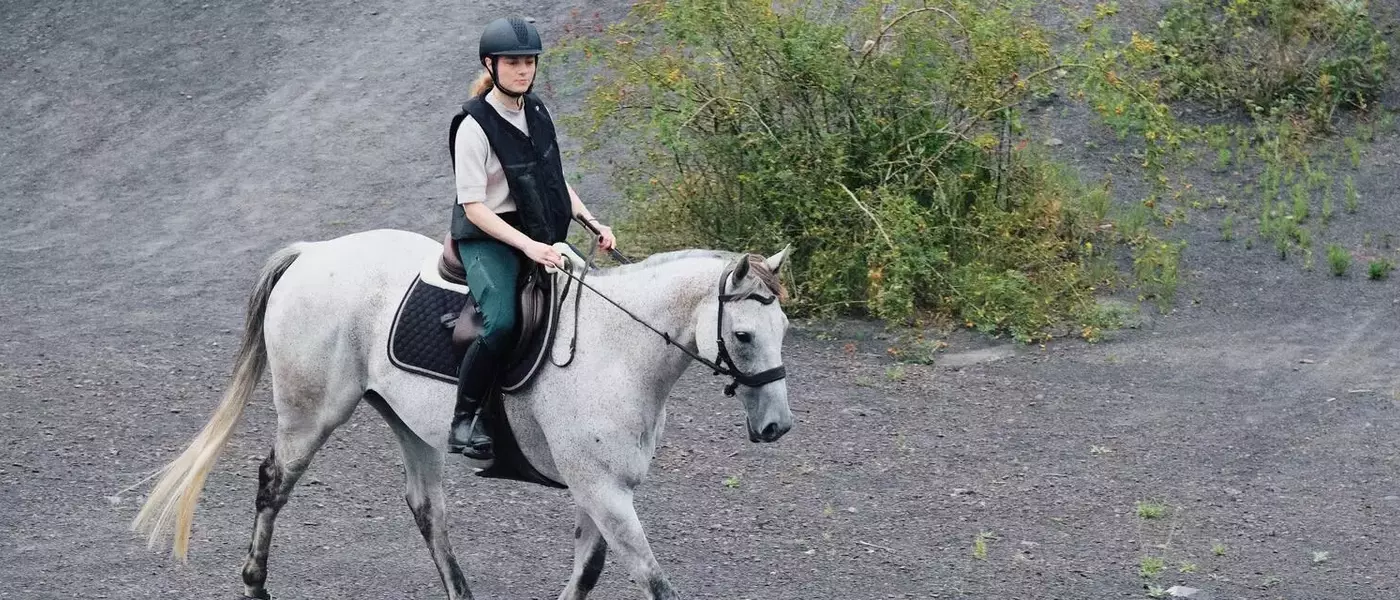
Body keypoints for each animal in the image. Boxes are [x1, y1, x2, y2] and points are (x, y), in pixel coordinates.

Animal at [130, 228, 795, 600]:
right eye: (742, 335)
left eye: (784, 328)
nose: (776, 428)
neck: (618, 346)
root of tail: (313, 253)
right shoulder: (602, 489)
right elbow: (652, 581)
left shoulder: (598, 490)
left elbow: (587, 573)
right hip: (310, 414)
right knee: (274, 484)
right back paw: (255, 583)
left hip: (409, 424)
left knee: (428, 510)